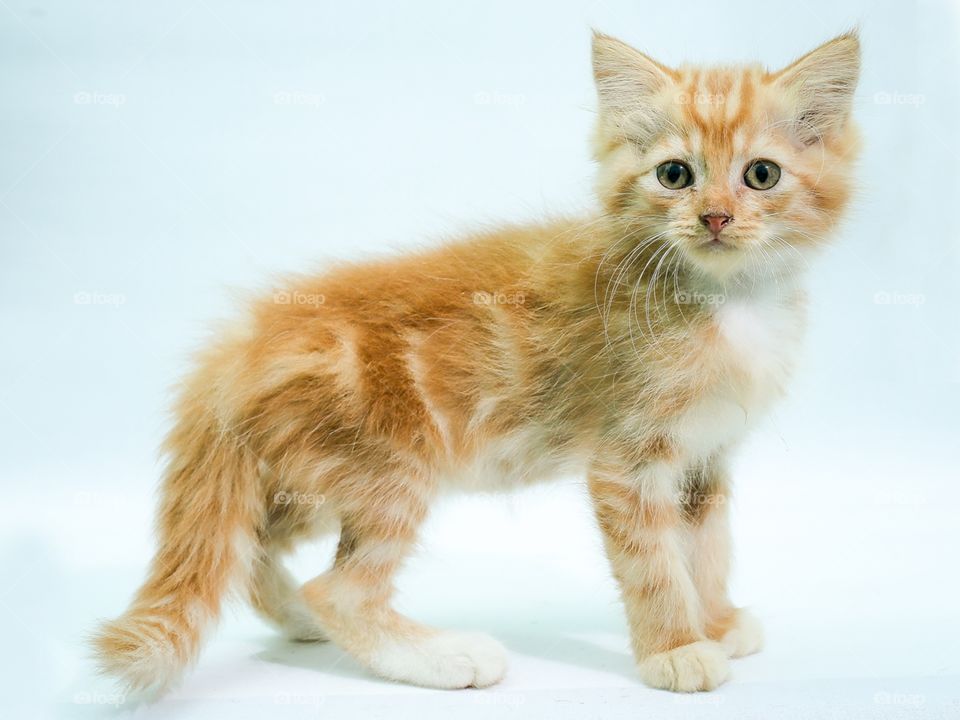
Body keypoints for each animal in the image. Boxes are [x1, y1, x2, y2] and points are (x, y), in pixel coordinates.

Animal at [94, 31, 860, 696]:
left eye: (761, 175)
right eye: (676, 174)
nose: (716, 217)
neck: (730, 301)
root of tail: (243, 343)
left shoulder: (707, 459)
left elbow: (707, 548)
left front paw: (717, 622)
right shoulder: (627, 461)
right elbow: (656, 564)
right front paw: (676, 650)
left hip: (302, 474)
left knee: (251, 545)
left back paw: (303, 620)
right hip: (388, 469)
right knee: (338, 588)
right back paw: (439, 656)